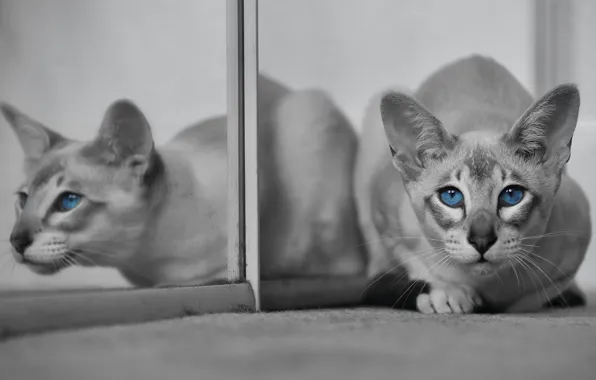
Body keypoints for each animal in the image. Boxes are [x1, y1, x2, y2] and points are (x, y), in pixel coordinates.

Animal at [0, 74, 366, 288]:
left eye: (68, 201)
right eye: (23, 199)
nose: (16, 240)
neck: (147, 259)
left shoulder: (255, 186)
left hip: (309, 116)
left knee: (340, 264)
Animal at [354, 54, 592, 314]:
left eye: (511, 195)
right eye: (451, 196)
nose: (481, 241)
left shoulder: (575, 242)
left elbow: (528, 299)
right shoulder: (388, 219)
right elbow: (419, 266)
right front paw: (449, 294)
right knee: (376, 266)